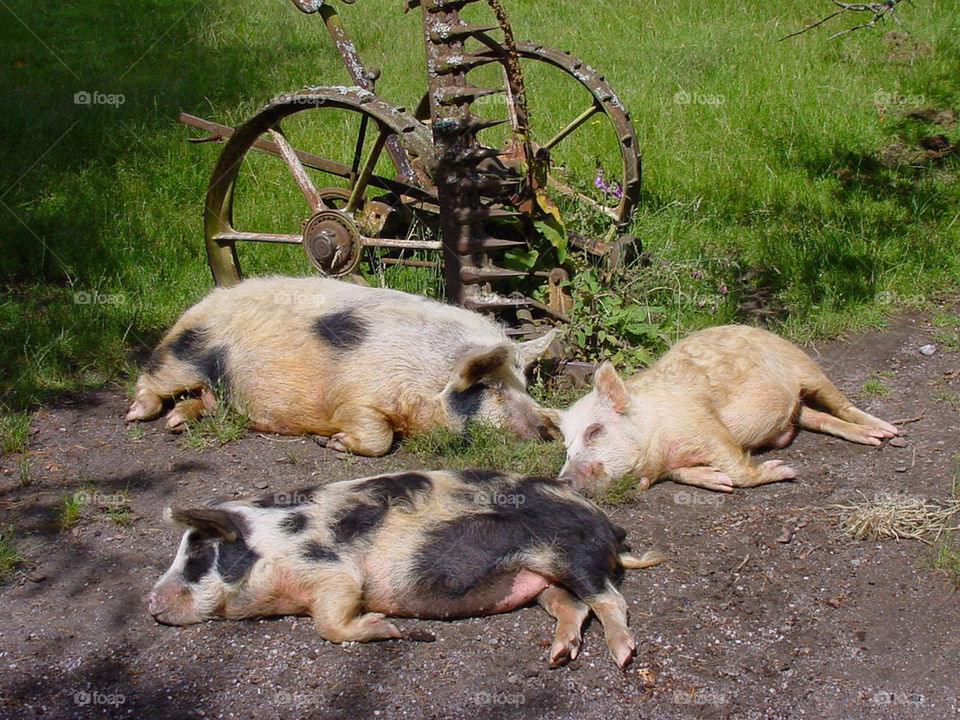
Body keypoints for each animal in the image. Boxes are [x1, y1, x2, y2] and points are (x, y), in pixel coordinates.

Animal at [127, 278, 564, 456]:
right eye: (491, 388)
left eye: (523, 385)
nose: (549, 429)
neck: (424, 379)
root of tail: (204, 301)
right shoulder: (355, 395)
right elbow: (377, 436)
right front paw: (332, 442)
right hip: (184, 355)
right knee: (151, 379)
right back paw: (138, 416)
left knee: (204, 401)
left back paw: (178, 422)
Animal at [146, 470, 664, 668]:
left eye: (196, 557)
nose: (150, 601)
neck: (274, 545)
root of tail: (606, 523)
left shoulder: (334, 574)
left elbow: (329, 622)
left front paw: (394, 628)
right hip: (540, 581)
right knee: (573, 607)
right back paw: (557, 656)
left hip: (571, 554)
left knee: (611, 599)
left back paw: (623, 657)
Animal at [560, 326, 896, 496]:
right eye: (566, 447)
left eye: (594, 430)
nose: (562, 480)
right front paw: (718, 481)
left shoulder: (702, 425)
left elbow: (736, 464)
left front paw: (785, 471)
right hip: (799, 409)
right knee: (821, 418)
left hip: (806, 367)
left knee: (840, 403)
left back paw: (886, 432)